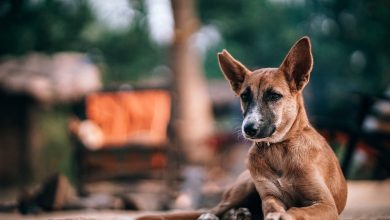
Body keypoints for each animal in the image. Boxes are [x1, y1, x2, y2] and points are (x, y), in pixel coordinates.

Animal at [137, 37, 348, 219]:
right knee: (214, 209)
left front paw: (282, 216)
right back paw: (220, 215)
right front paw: (275, 214)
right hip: (245, 186)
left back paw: (240, 214)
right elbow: (273, 207)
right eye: (245, 96)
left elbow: (297, 209)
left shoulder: (325, 204)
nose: (248, 129)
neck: (278, 149)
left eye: (274, 96)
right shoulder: (269, 197)